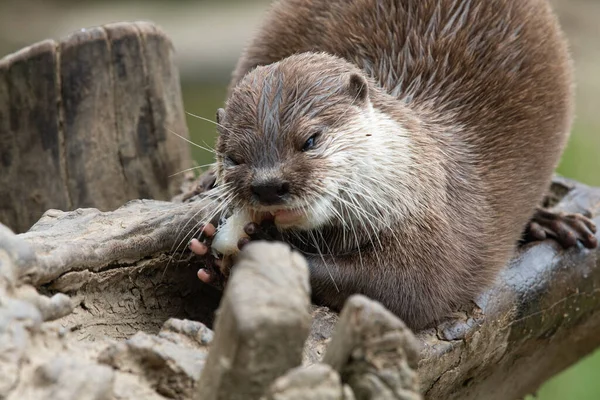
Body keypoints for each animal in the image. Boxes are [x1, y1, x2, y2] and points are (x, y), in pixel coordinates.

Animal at [186, 0, 596, 330]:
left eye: (310, 140)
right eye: (233, 157)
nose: (268, 185)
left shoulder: (435, 228)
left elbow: (405, 290)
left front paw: (261, 243)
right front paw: (211, 250)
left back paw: (555, 222)